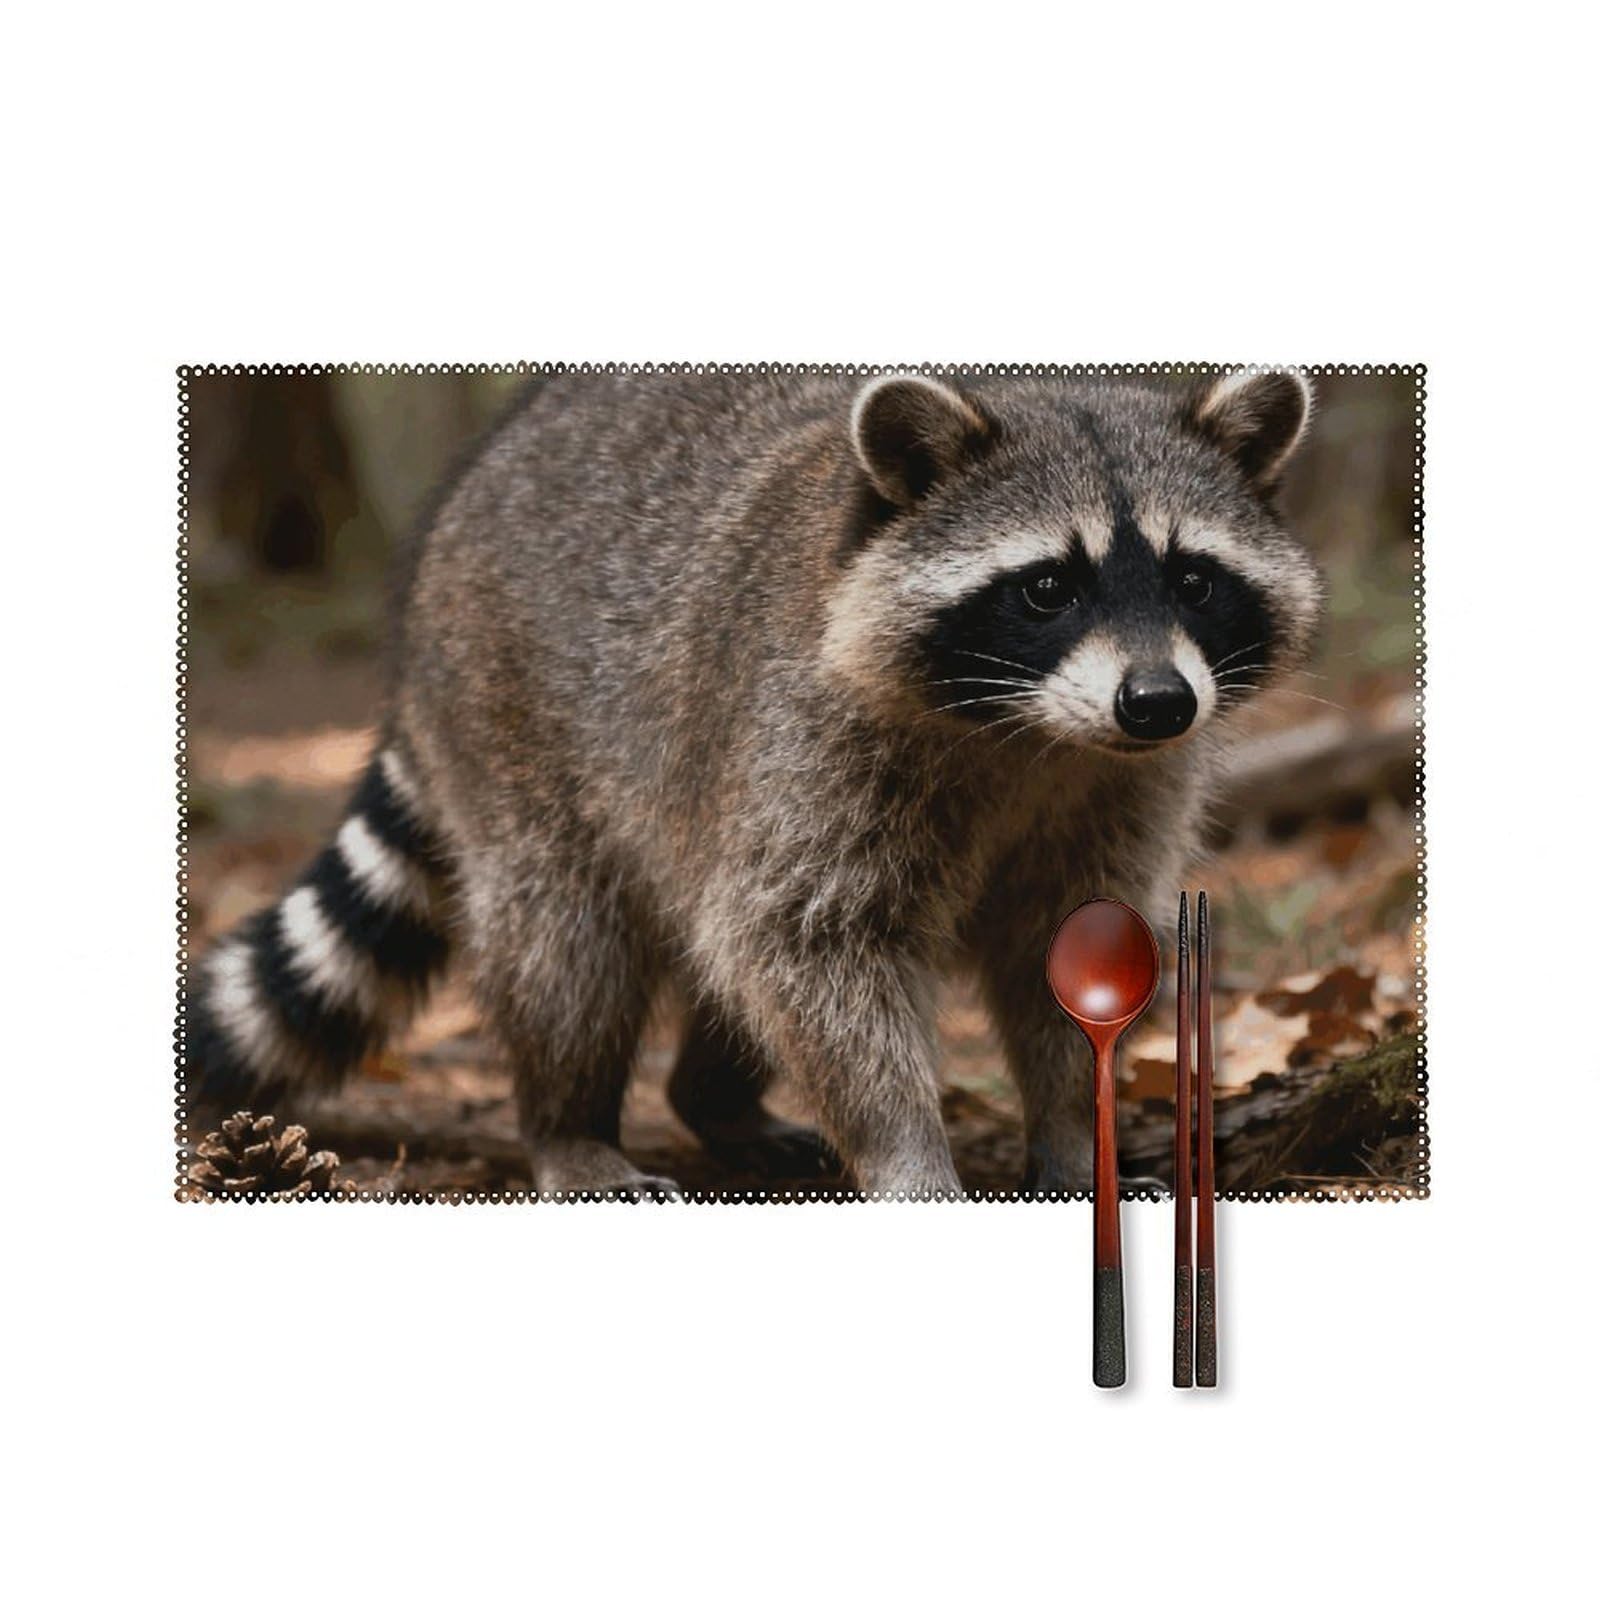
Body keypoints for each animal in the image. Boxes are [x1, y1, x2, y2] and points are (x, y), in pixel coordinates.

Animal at [185, 367, 1322, 1197]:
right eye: (1048, 587)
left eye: (1192, 579)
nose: (1158, 702)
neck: (1034, 732)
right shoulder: (808, 734)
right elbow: (813, 944)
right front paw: (907, 1153)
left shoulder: (1119, 786)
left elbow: (1066, 949)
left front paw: (1076, 1131)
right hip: (505, 711)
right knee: (571, 944)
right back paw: (565, 1122)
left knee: (713, 946)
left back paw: (711, 1095)